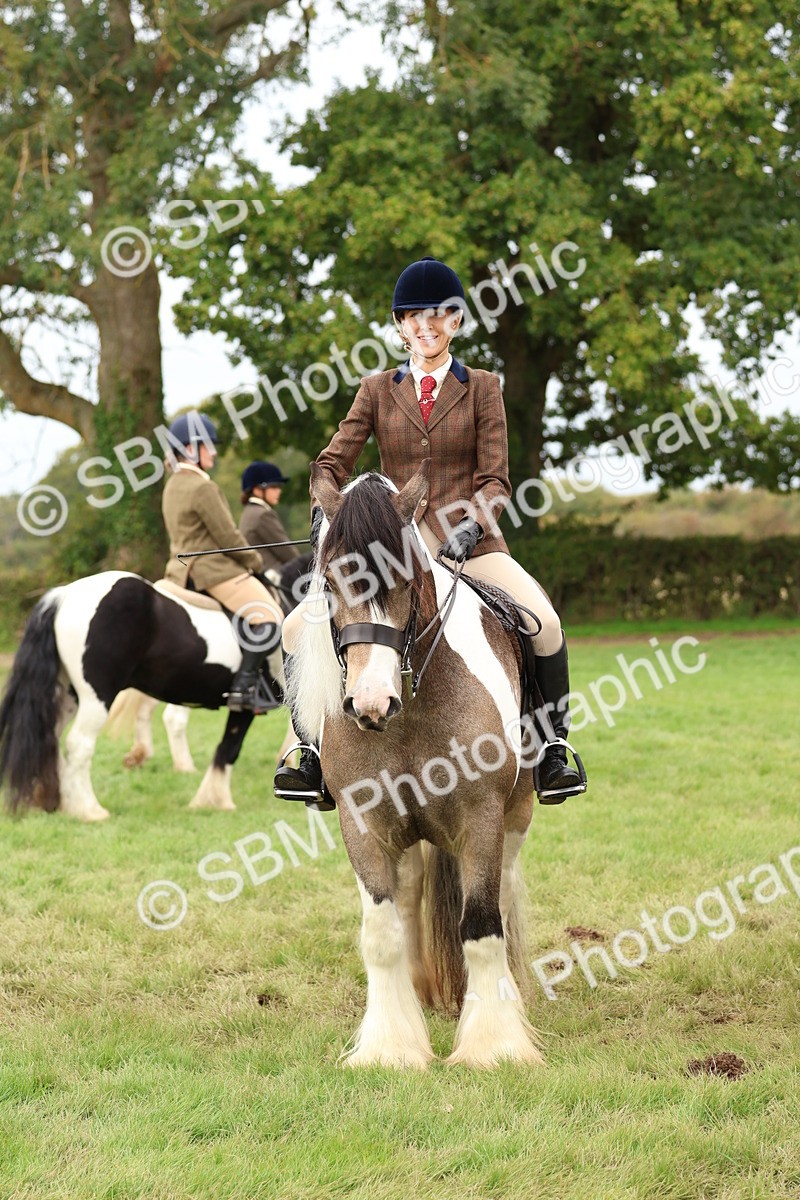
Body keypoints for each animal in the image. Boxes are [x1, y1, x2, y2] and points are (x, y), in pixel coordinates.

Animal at [0, 555, 312, 822]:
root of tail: (64, 595)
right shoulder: (252, 704)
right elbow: (229, 748)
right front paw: (215, 800)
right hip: (96, 697)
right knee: (79, 744)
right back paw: (89, 810)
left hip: (68, 695)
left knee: (51, 737)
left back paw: (61, 801)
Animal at [288, 460, 543, 1068]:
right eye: (330, 583)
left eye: (405, 581)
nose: (371, 702)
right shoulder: (362, 822)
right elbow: (381, 934)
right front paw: (391, 1049)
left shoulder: (481, 817)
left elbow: (482, 927)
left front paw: (494, 1047)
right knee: (406, 902)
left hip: (514, 815)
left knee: (502, 897)